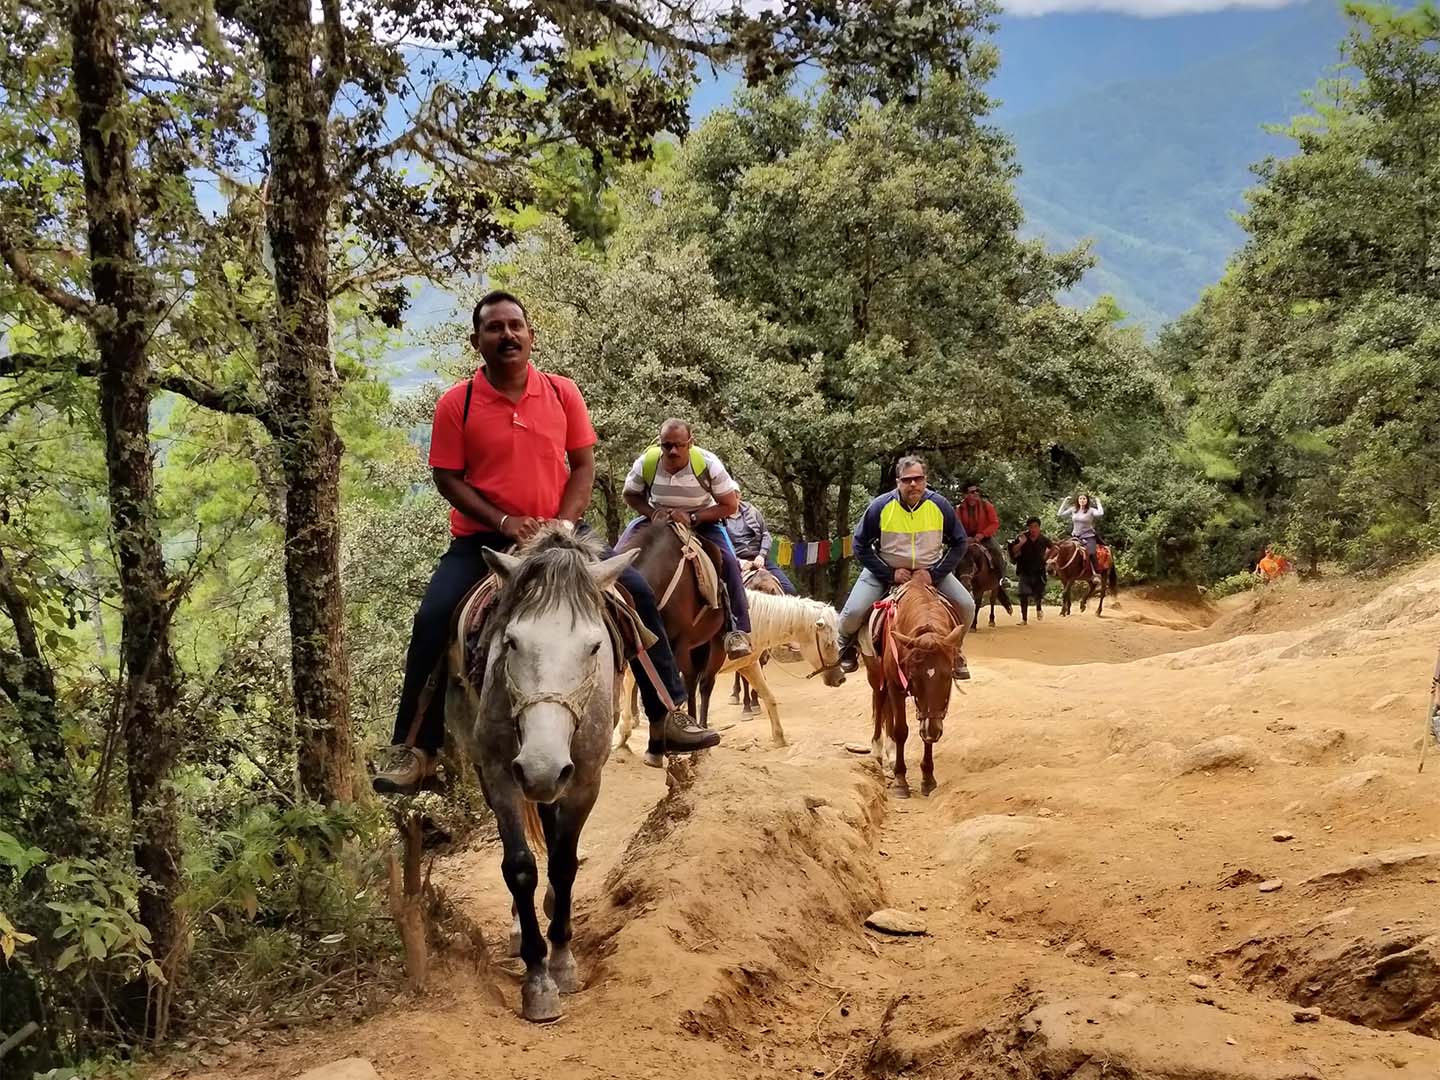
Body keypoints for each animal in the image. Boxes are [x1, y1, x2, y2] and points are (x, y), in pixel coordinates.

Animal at [446, 529, 633, 1025]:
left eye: (594, 647)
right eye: (511, 642)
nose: (540, 767)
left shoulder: (584, 780)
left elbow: (563, 863)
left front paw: (563, 961)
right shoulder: (499, 775)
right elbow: (520, 867)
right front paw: (537, 978)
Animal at [616, 587, 840, 754]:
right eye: (829, 644)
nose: (840, 679)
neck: (750, 620)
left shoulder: (748, 665)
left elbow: (769, 697)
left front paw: (780, 738)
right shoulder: (707, 670)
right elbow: (701, 700)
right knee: (630, 682)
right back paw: (625, 731)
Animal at [858, 587, 961, 800]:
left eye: (948, 676)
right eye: (914, 676)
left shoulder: (930, 714)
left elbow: (926, 732)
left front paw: (928, 780)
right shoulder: (896, 688)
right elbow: (901, 731)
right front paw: (900, 781)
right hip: (875, 676)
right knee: (879, 704)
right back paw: (878, 752)